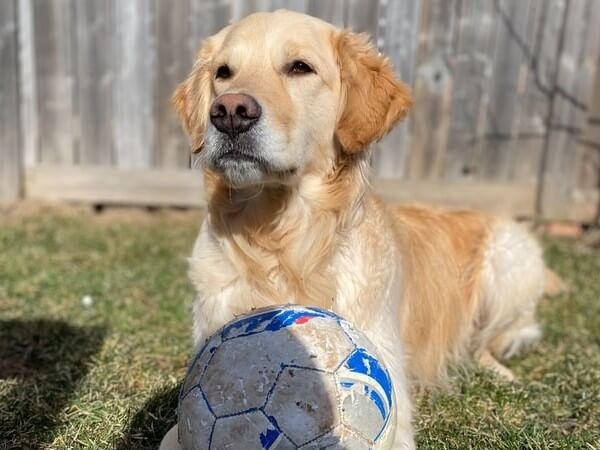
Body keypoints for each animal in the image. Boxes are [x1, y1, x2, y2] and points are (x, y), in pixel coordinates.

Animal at [159, 10, 548, 450]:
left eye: (300, 67)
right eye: (224, 73)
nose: (228, 111)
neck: (283, 241)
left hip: (513, 254)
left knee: (493, 339)